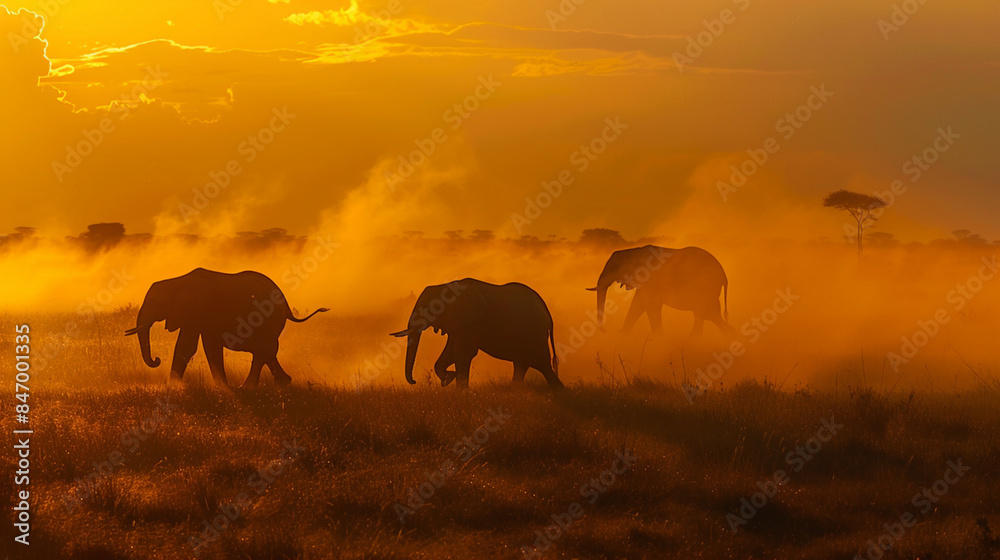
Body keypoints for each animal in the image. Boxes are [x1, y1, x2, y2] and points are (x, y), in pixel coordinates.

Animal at [124, 268, 328, 388]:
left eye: (154, 302)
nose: (157, 359)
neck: (176, 280)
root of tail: (285, 302)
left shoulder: (200, 310)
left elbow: (193, 346)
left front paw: (175, 386)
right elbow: (202, 346)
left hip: (268, 318)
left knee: (263, 348)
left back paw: (247, 388)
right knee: (266, 350)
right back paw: (283, 383)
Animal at [390, 278, 563, 389]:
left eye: (428, 308)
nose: (414, 381)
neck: (446, 286)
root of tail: (548, 314)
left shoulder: (471, 322)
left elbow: (463, 353)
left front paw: (459, 389)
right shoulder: (459, 323)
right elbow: (450, 353)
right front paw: (449, 379)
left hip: (534, 333)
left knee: (541, 364)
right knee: (523, 364)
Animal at [588, 246, 735, 338]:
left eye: (614, 267)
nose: (605, 330)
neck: (633, 251)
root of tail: (724, 276)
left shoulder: (650, 279)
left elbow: (648, 305)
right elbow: (638, 305)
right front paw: (622, 335)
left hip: (705, 288)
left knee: (707, 314)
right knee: (707, 315)